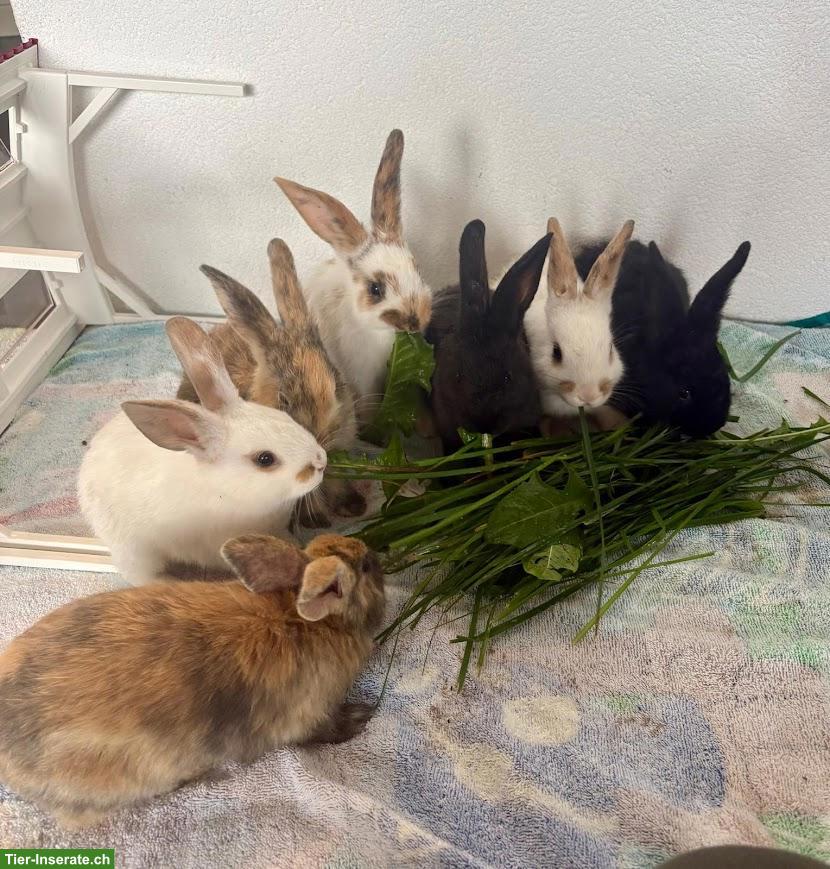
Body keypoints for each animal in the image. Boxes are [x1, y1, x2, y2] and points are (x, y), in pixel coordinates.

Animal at [0, 532, 385, 828]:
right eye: (366, 568)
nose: (378, 554)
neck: (301, 619)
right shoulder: (308, 716)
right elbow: (324, 731)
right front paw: (361, 717)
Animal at [275, 130, 433, 425]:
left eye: (417, 268)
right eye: (375, 289)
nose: (416, 321)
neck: (379, 332)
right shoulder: (362, 378)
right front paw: (371, 425)